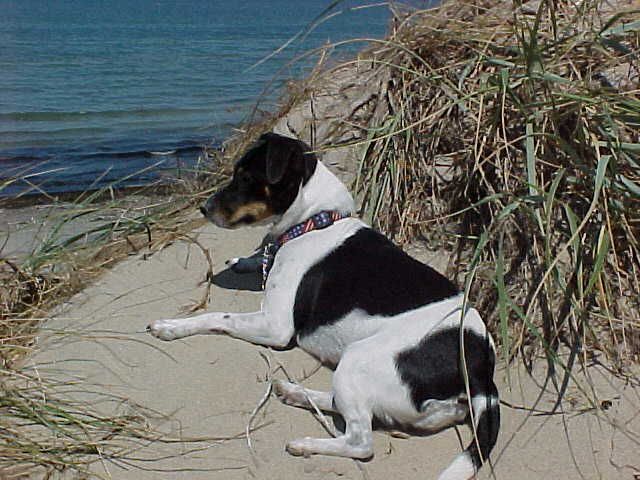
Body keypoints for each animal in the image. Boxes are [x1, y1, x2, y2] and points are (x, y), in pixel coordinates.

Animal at [150, 132, 500, 480]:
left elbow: (217, 316)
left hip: (358, 359)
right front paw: (244, 261)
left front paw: (171, 326)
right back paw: (294, 392)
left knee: (361, 442)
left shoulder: (275, 327)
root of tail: (479, 368)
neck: (313, 222)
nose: (203, 208)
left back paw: (306, 443)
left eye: (246, 177)